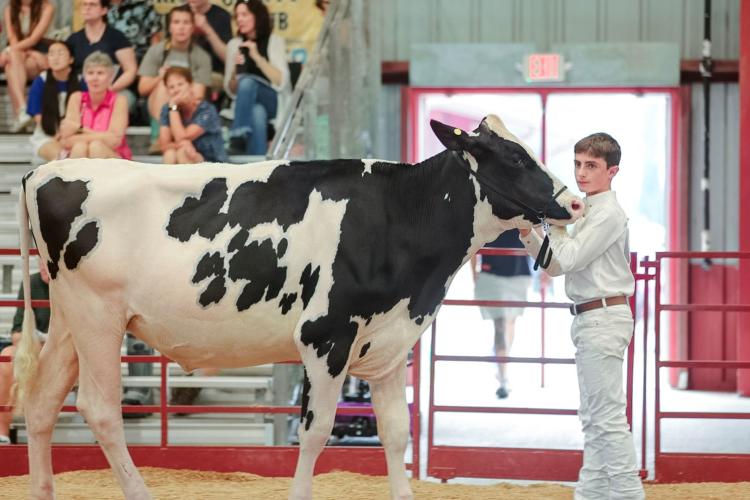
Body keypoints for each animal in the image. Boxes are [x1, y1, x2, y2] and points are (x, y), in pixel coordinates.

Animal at [13, 115, 583, 500]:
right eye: (514, 158)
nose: (574, 202)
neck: (399, 215)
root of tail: (45, 171)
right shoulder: (326, 337)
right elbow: (314, 435)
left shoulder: (390, 346)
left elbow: (396, 434)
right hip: (98, 318)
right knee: (99, 409)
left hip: (69, 321)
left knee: (42, 403)